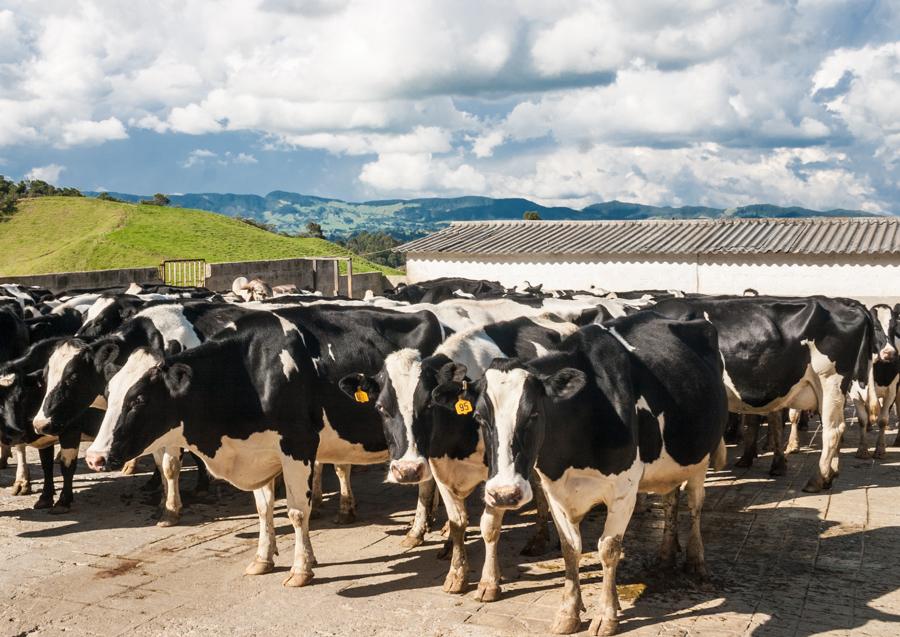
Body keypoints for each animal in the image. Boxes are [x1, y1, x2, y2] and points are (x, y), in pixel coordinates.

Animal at [342, 316, 580, 600]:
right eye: (380, 407)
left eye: (428, 405)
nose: (407, 470)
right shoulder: (439, 466)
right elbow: (457, 521)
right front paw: (457, 573)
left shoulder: (496, 475)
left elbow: (489, 526)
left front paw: (489, 582)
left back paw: (540, 538)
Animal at [428, 314, 732, 636]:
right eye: (479, 417)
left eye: (534, 414)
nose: (504, 494)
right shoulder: (554, 488)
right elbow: (570, 549)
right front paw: (568, 612)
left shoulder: (624, 489)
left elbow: (608, 548)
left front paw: (607, 615)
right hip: (669, 463)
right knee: (670, 499)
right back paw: (666, 552)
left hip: (700, 458)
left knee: (694, 505)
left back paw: (695, 560)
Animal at [652, 296, 876, 490]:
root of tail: (846, 304)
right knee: (837, 427)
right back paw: (831, 475)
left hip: (830, 380)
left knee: (832, 430)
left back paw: (817, 479)